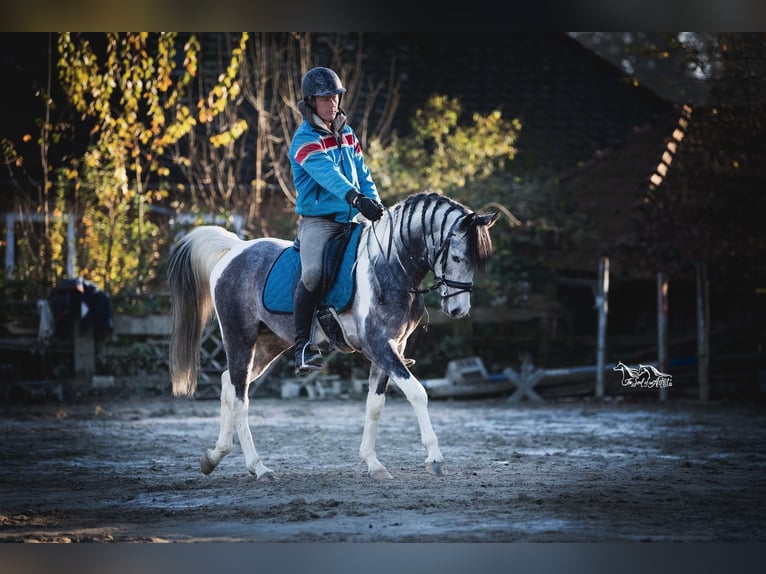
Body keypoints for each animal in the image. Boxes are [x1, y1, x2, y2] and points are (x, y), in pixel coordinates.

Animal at [167, 191, 499, 480]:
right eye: (457, 257)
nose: (458, 309)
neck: (389, 266)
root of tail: (235, 250)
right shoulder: (380, 346)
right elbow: (418, 393)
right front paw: (434, 458)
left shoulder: (391, 347)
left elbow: (375, 405)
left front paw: (373, 463)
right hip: (240, 337)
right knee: (240, 397)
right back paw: (258, 468)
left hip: (269, 345)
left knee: (228, 383)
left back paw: (214, 457)